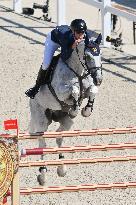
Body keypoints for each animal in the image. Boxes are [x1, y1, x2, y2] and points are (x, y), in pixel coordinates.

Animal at [28, 37, 102, 186]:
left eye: (100, 55)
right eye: (88, 56)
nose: (99, 79)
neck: (78, 70)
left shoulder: (88, 88)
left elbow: (92, 90)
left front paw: (86, 110)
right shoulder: (61, 92)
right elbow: (74, 90)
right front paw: (76, 109)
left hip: (65, 121)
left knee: (59, 138)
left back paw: (62, 169)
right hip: (41, 119)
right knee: (42, 143)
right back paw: (42, 175)